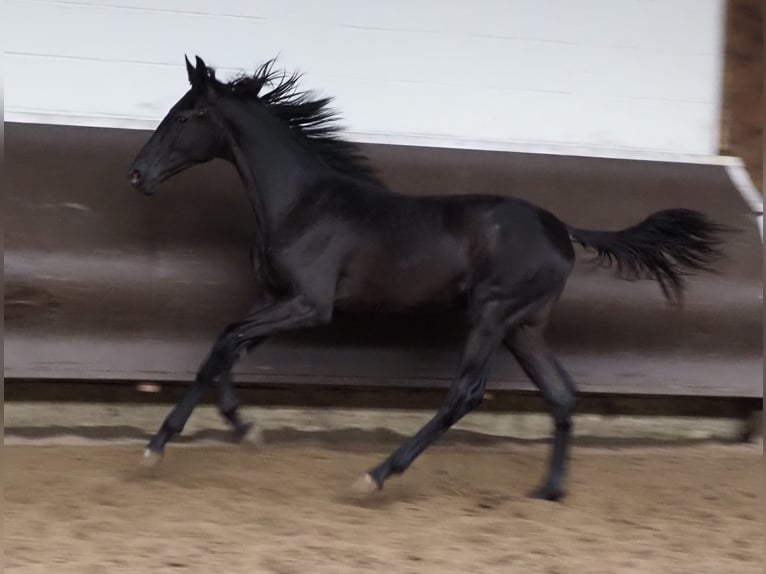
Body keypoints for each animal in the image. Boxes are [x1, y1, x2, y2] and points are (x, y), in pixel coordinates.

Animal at [129, 56, 728, 502]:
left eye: (184, 116)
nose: (137, 174)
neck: (304, 203)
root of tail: (562, 228)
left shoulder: (310, 304)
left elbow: (227, 339)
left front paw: (169, 444)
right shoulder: (276, 297)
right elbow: (224, 346)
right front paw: (238, 428)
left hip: (491, 314)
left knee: (466, 393)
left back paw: (376, 475)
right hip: (524, 326)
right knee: (562, 393)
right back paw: (548, 490)